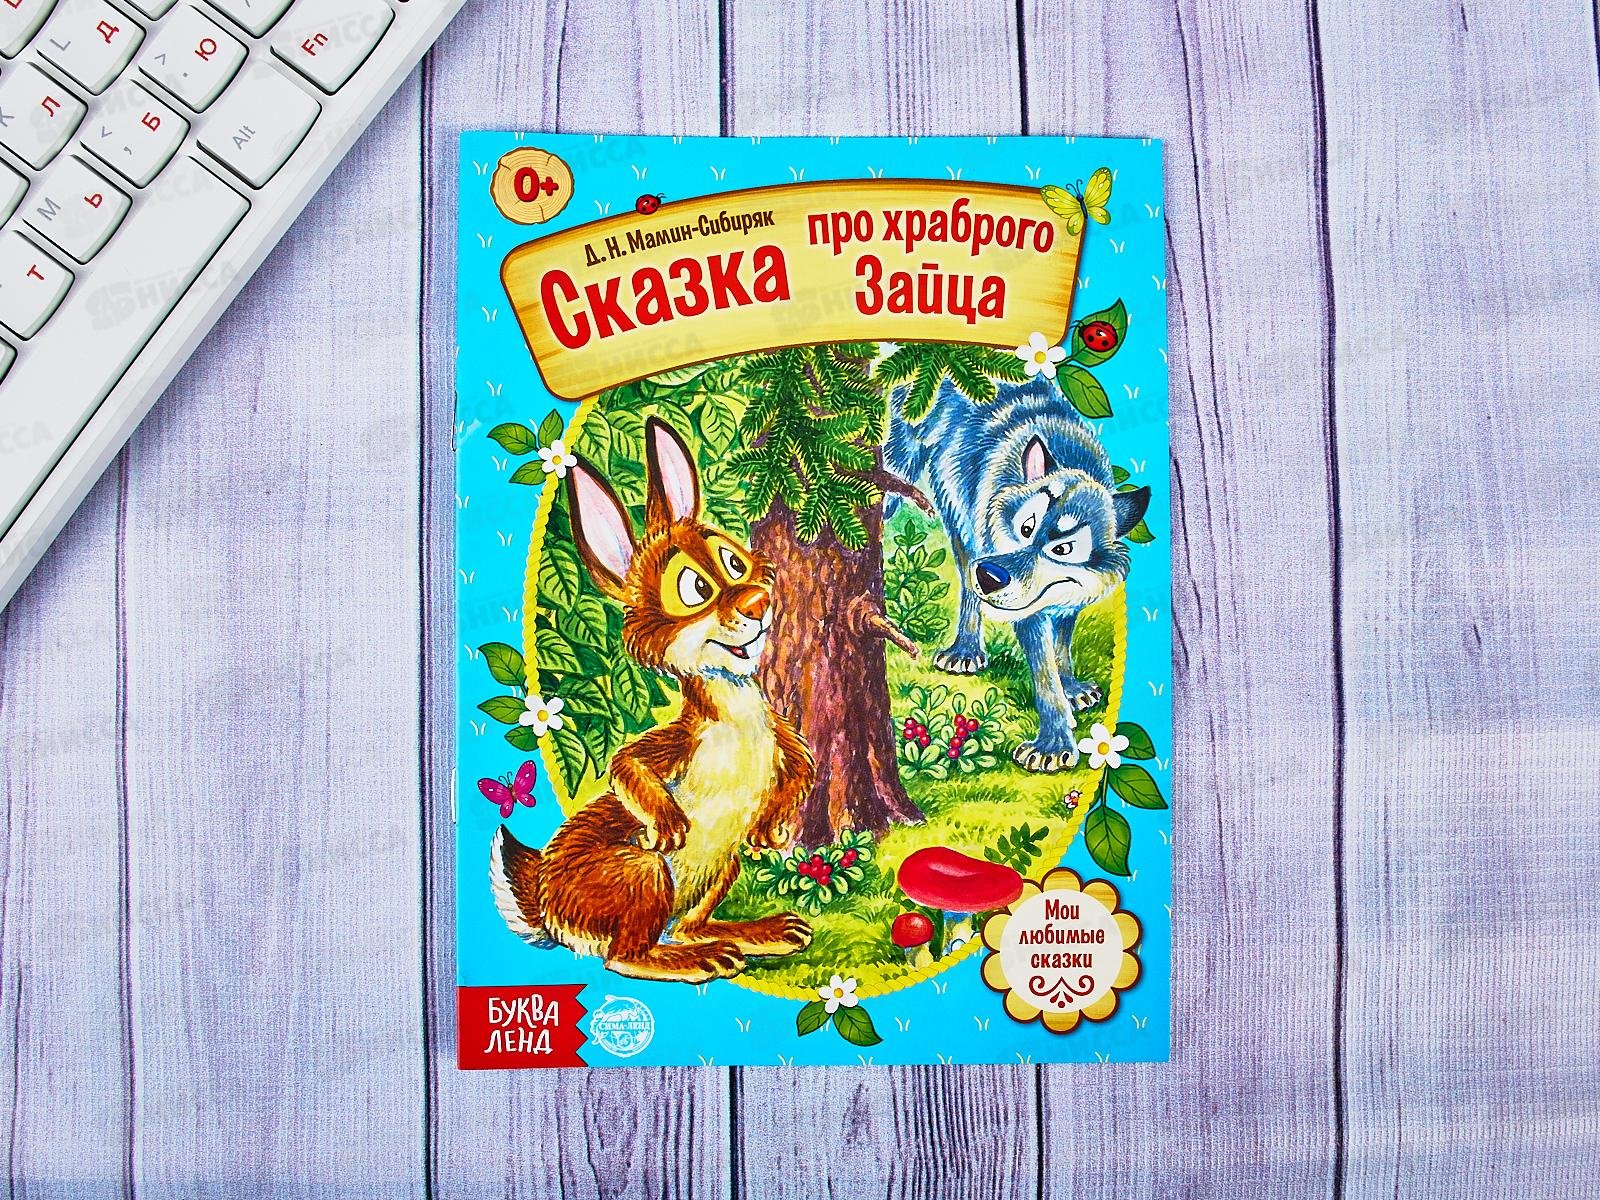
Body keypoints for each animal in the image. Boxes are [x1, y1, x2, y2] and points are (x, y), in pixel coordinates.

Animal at [489, 417, 815, 983]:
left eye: (734, 561)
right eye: (695, 589)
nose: (758, 602)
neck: (738, 714)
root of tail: (548, 906)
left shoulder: (781, 730)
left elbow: (801, 766)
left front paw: (771, 826)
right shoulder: (678, 742)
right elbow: (627, 764)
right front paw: (667, 823)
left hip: (723, 864)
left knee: (686, 924)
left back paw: (753, 933)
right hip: (641, 873)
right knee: (624, 955)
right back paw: (695, 959)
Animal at [884, 372, 1151, 772]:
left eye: (1062, 549)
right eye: (1026, 527)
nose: (990, 576)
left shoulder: (1066, 594)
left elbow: (1062, 641)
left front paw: (1070, 686)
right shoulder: (1023, 605)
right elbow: (1043, 675)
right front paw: (1054, 743)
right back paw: (965, 648)